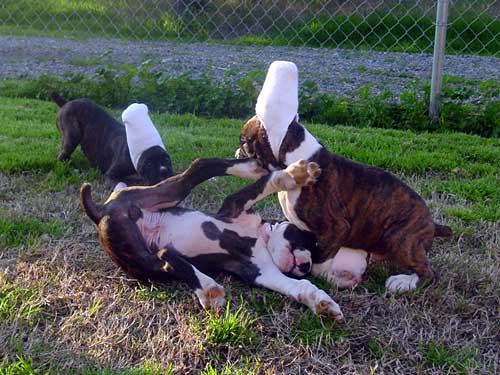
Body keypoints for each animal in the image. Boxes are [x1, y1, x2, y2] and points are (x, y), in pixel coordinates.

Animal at [234, 61, 454, 296]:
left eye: (244, 141)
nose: (236, 153)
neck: (296, 161)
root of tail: (431, 223)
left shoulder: (336, 227)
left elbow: (320, 261)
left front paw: (325, 276)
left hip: (400, 238)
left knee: (428, 273)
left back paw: (403, 282)